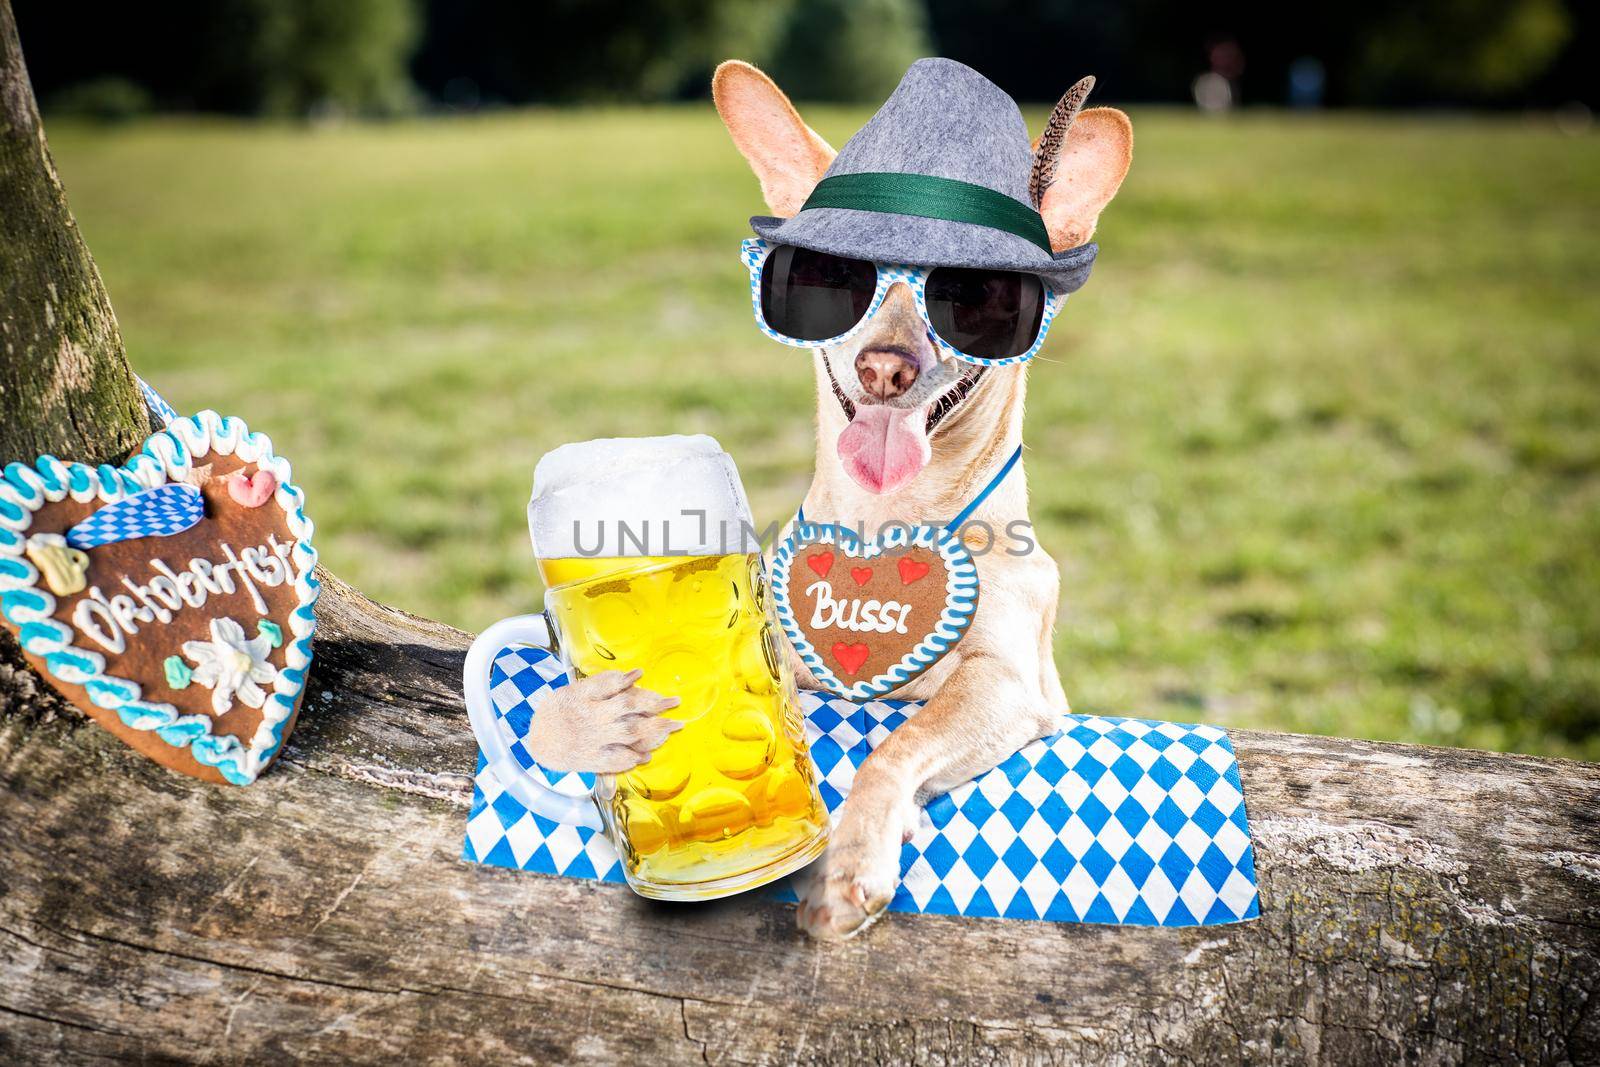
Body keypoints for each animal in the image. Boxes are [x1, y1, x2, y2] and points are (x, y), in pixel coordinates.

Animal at [518, 60, 1132, 940]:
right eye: (827, 279)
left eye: (977, 297)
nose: (885, 366)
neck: (884, 523)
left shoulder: (1009, 683)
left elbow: (897, 742)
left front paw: (849, 858)